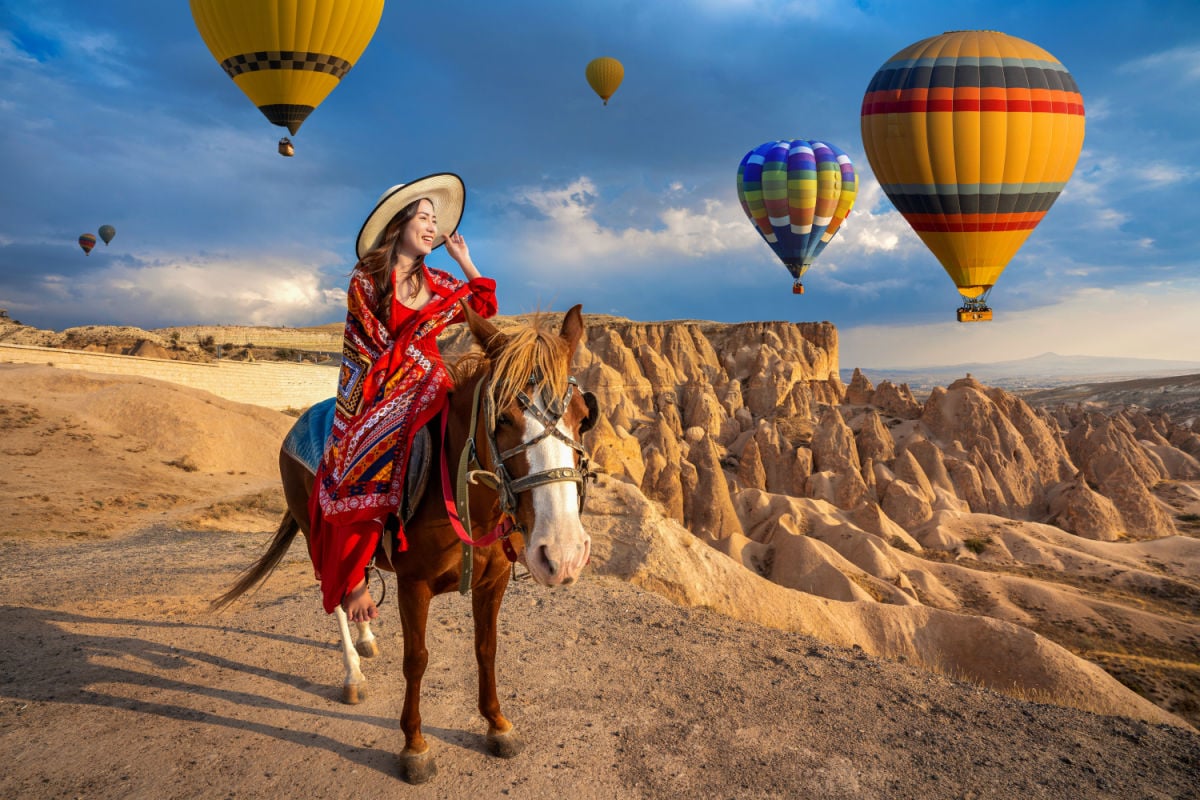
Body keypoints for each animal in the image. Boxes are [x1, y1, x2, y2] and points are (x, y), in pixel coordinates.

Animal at [213, 303, 597, 786]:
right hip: (312, 531)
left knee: (354, 578)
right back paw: (353, 673)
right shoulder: (413, 586)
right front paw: (414, 746)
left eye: (583, 416)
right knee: (333, 596)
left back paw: (366, 637)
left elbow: (486, 649)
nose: (563, 553)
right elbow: (416, 659)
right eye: (502, 419)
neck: (462, 495)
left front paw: (497, 724)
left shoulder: (494, 581)